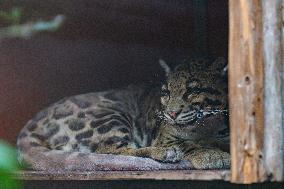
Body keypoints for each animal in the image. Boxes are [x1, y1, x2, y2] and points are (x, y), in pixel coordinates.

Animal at [17, 58, 231, 170]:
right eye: (166, 93)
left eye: (193, 91)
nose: (171, 113)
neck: (207, 126)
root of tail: (32, 123)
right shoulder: (165, 136)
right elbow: (187, 143)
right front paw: (210, 154)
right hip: (108, 116)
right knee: (109, 151)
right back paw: (164, 153)